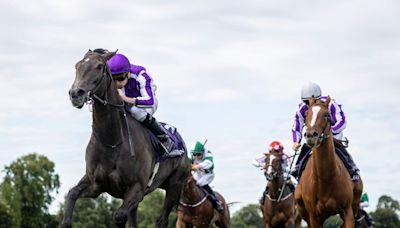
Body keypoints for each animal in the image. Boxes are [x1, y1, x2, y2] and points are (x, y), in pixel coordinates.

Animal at [64, 50, 191, 228]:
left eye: (99, 66)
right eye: (77, 65)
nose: (76, 93)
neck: (112, 142)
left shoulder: (136, 188)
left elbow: (119, 216)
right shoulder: (95, 184)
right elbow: (72, 194)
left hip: (175, 185)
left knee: (161, 220)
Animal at [294, 97, 362, 227]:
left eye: (327, 115)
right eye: (306, 114)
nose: (311, 135)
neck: (325, 178)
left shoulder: (347, 212)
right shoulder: (314, 216)